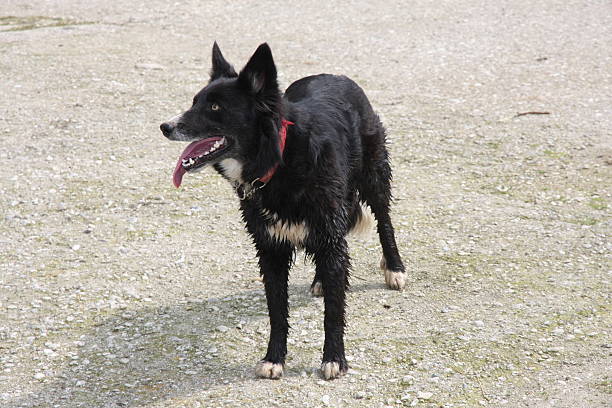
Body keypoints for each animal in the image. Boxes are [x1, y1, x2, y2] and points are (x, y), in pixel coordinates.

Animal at [160, 43, 404, 380]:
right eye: (195, 102)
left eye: (215, 107)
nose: (165, 127)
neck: (280, 160)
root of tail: (334, 75)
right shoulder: (270, 246)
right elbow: (277, 310)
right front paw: (274, 358)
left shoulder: (328, 233)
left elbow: (334, 310)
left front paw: (334, 358)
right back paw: (320, 280)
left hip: (374, 174)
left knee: (385, 221)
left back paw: (395, 267)